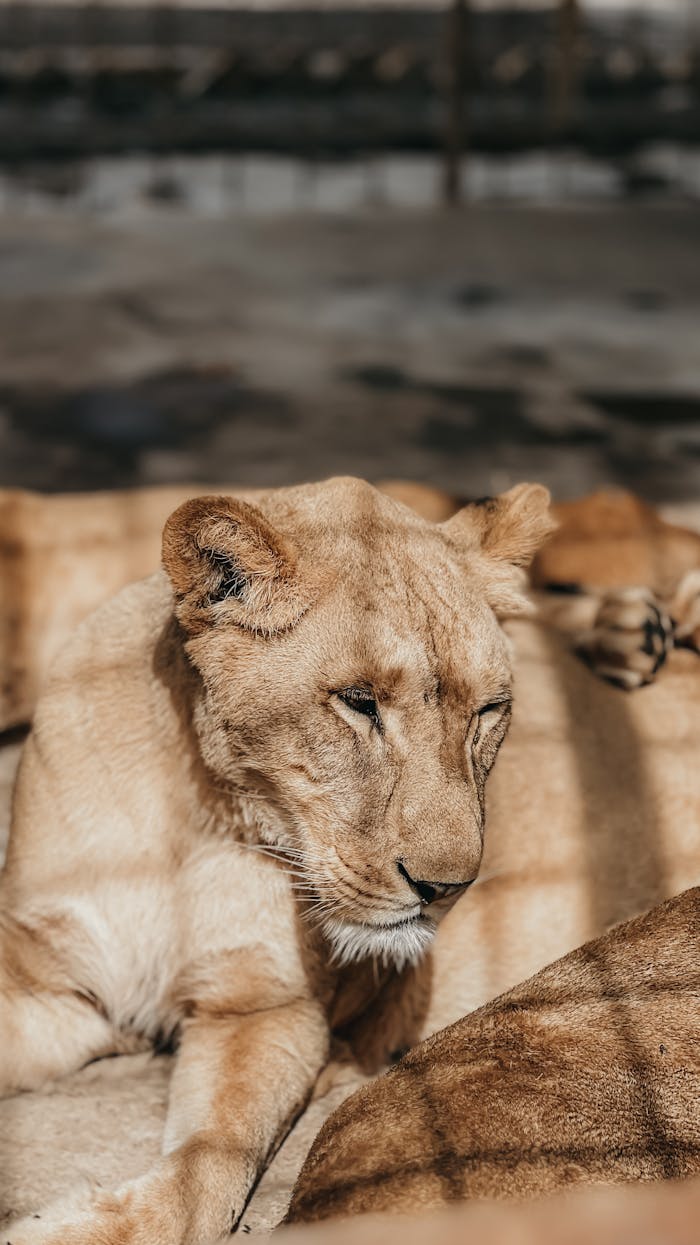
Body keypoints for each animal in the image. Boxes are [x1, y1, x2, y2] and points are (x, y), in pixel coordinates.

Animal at [0, 476, 553, 1245]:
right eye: (359, 703)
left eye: (489, 710)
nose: (448, 887)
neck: (197, 813)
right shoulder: (50, 980)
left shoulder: (266, 1006)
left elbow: (206, 1172)